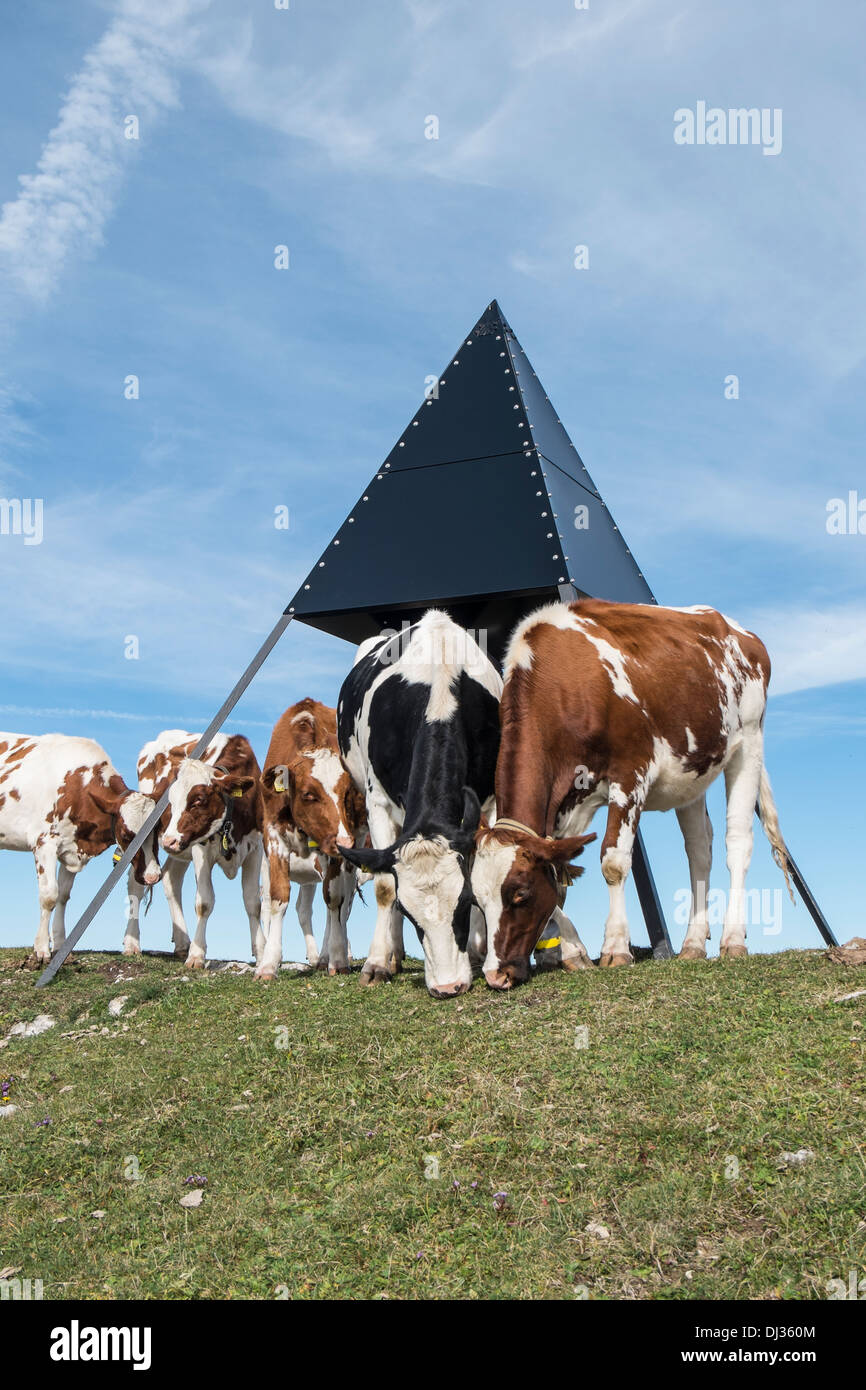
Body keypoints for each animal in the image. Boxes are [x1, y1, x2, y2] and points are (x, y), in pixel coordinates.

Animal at [0, 733, 161, 961]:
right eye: (125, 835)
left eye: (157, 829)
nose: (153, 876)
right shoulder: (44, 842)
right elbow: (49, 895)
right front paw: (41, 948)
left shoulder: (70, 849)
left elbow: (63, 896)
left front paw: (60, 946)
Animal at [123, 733, 262, 973]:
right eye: (170, 801)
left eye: (198, 800)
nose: (169, 840)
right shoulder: (200, 850)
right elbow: (204, 902)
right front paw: (197, 954)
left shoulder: (256, 848)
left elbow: (253, 902)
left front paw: (262, 951)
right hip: (146, 839)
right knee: (136, 884)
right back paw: (131, 943)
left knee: (171, 878)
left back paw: (182, 942)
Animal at [252, 700, 364, 984]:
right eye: (308, 794)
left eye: (346, 793)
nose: (344, 840)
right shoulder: (273, 838)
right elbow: (278, 899)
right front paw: (268, 963)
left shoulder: (333, 851)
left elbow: (334, 899)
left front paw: (338, 959)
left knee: (343, 904)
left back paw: (329, 955)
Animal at [337, 614, 500, 995]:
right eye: (411, 915)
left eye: (465, 902)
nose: (448, 986)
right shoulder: (377, 803)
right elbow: (384, 887)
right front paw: (377, 963)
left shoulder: (488, 802)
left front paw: (482, 951)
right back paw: (393, 956)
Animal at [469, 597, 795, 989]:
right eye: (478, 899)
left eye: (520, 893)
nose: (496, 975)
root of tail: (737, 629)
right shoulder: (561, 810)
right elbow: (559, 876)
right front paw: (574, 952)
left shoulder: (631, 773)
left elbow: (613, 862)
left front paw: (615, 947)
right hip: (693, 771)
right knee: (700, 851)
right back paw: (693, 943)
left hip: (748, 744)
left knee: (738, 843)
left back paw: (732, 939)